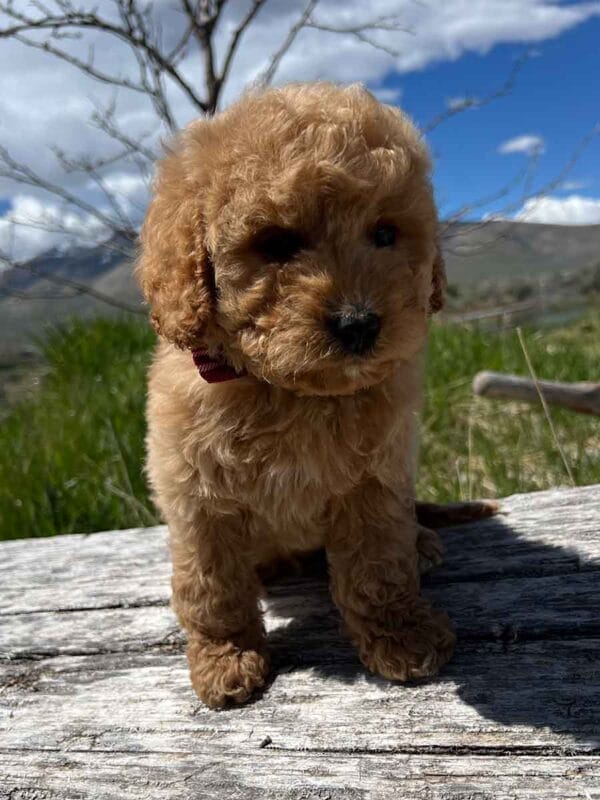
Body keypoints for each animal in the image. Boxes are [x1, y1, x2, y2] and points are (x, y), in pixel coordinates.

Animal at [136, 81, 454, 708]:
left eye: (385, 234)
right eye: (276, 243)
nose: (359, 323)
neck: (290, 391)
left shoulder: (375, 480)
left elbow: (378, 567)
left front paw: (403, 637)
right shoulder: (195, 497)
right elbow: (211, 587)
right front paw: (226, 660)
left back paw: (423, 540)